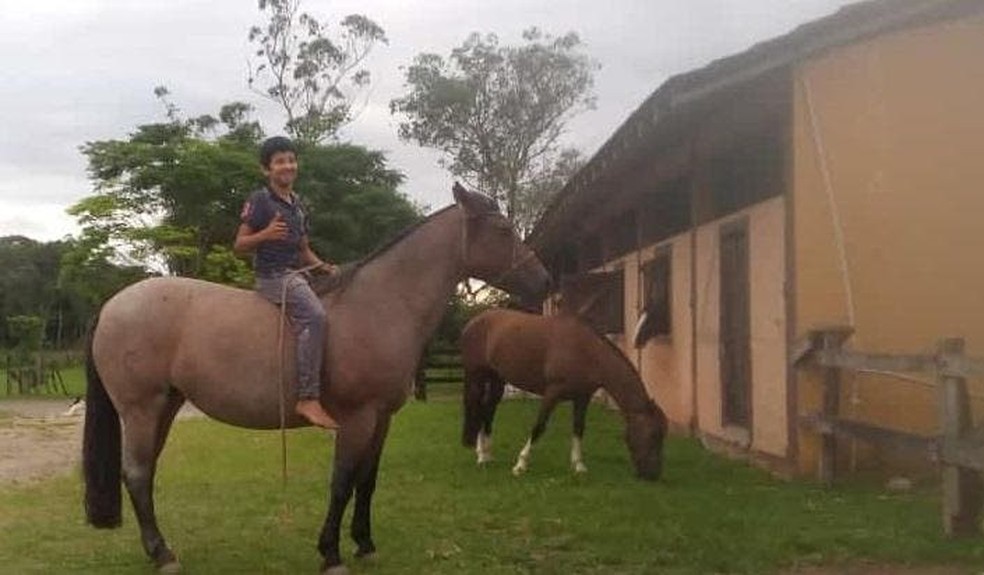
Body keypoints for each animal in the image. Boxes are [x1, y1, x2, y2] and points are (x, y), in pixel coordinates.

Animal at [82, 183, 550, 575]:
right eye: (503, 229)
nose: (545, 281)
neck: (380, 305)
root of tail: (111, 306)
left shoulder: (382, 419)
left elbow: (367, 480)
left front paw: (364, 543)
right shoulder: (357, 419)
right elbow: (342, 482)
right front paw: (331, 553)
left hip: (165, 407)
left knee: (144, 473)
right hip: (140, 410)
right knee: (137, 473)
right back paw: (163, 554)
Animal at [460, 308, 667, 480]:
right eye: (653, 435)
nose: (653, 475)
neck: (586, 351)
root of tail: (474, 321)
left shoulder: (582, 398)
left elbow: (578, 428)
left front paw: (578, 466)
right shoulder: (552, 393)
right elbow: (539, 427)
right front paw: (520, 465)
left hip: (497, 379)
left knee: (487, 410)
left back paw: (487, 454)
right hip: (477, 376)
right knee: (479, 407)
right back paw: (481, 456)